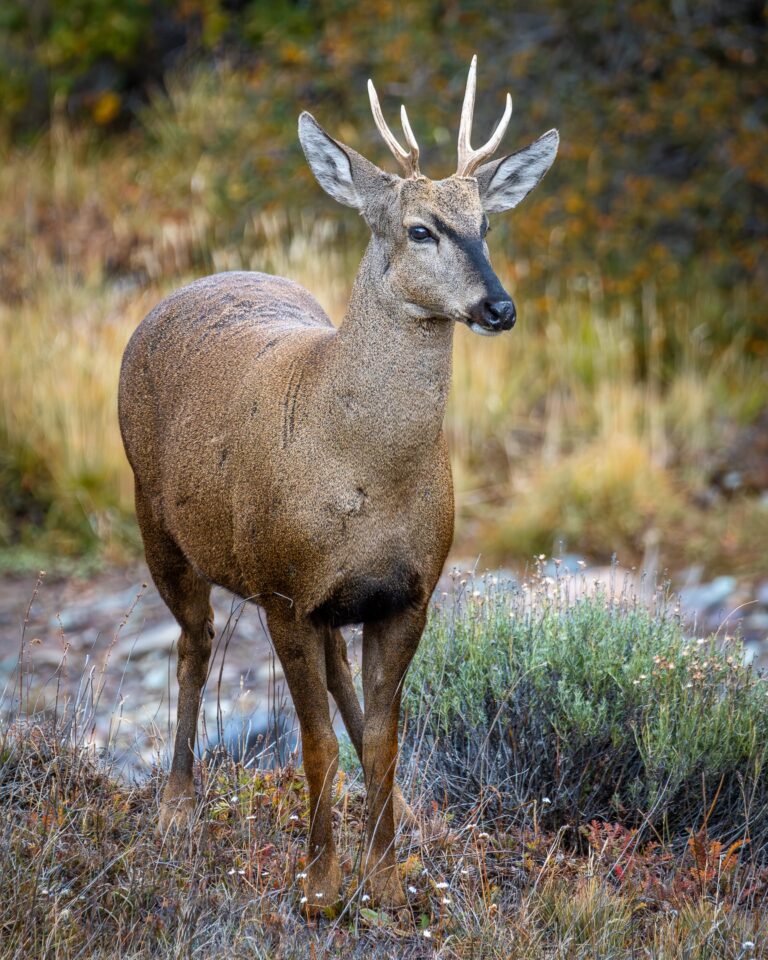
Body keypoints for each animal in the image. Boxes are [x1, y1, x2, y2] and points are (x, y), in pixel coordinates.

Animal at [117, 56, 556, 912]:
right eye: (420, 228)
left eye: (486, 225)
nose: (499, 306)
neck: (363, 472)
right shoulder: (284, 589)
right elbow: (314, 740)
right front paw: (320, 884)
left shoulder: (409, 590)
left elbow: (383, 733)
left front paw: (384, 877)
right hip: (157, 519)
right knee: (193, 643)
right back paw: (178, 807)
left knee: (336, 675)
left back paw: (409, 818)